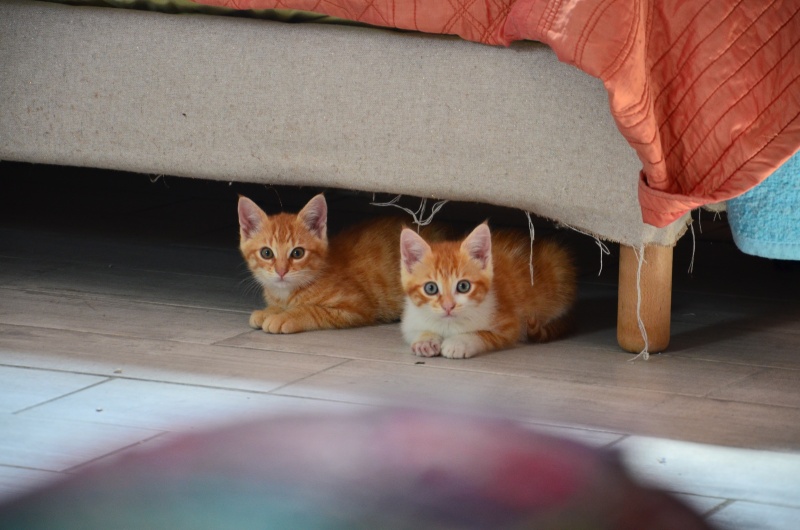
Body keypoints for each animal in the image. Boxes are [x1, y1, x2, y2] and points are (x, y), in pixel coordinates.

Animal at [241, 194, 446, 334]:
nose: (281, 271)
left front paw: (285, 316)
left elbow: (312, 310)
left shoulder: (356, 307)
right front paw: (269, 311)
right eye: (266, 253)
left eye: (297, 253)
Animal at [400, 221, 576, 356]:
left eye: (463, 286)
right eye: (431, 288)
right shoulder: (410, 319)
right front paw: (425, 340)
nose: (448, 306)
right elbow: (412, 330)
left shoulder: (510, 325)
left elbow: (484, 335)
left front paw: (459, 342)